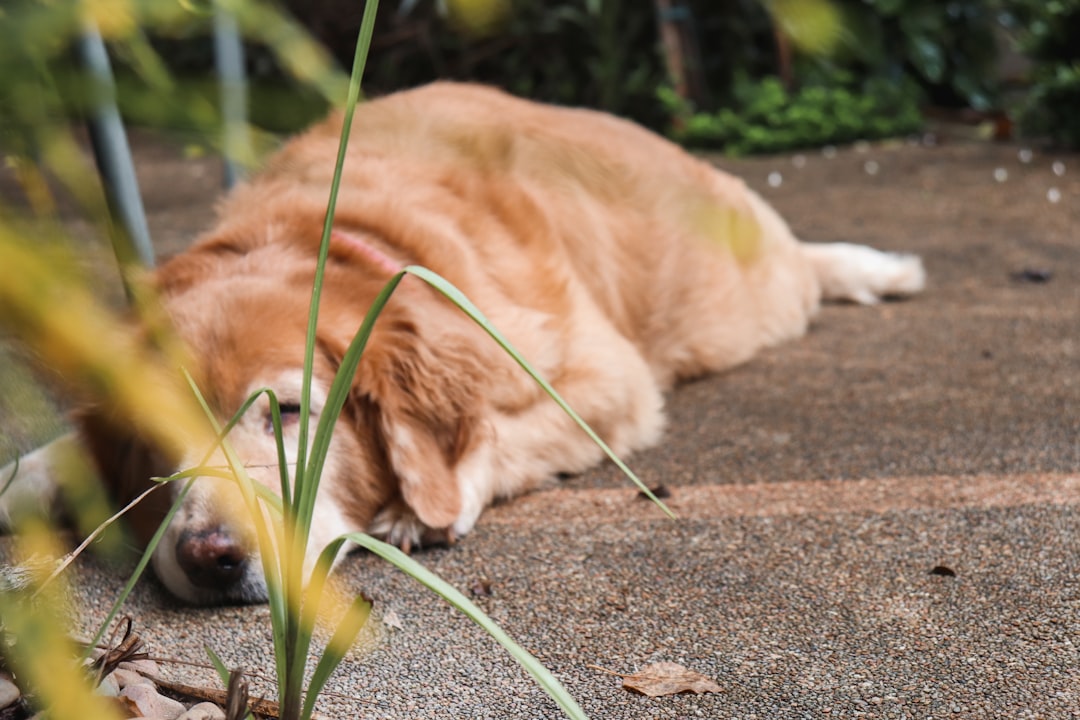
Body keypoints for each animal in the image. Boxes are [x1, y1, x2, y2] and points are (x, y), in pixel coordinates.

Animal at [4, 81, 924, 604]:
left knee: (800, 267)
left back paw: (878, 267)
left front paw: (416, 510)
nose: (212, 559)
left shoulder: (604, 380)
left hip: (736, 297)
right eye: (148, 435)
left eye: (291, 412)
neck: (333, 244)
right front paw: (25, 476)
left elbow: (498, 437)